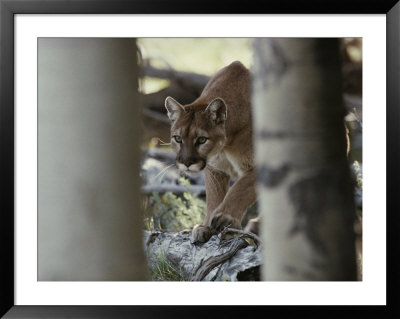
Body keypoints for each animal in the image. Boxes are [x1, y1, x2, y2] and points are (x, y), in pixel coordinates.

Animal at [165, 61, 256, 244]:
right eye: (178, 138)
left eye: (201, 140)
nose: (186, 162)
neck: (226, 144)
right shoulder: (214, 168)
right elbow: (214, 196)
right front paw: (206, 227)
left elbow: (240, 189)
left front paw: (225, 218)